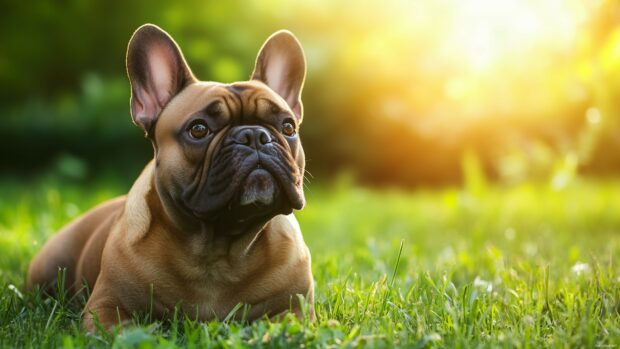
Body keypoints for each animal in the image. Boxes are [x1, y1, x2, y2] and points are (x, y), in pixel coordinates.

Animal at [26, 23, 312, 328]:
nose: (255, 136)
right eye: (198, 129)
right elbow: (120, 331)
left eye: (288, 127)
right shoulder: (106, 305)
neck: (219, 246)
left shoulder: (295, 308)